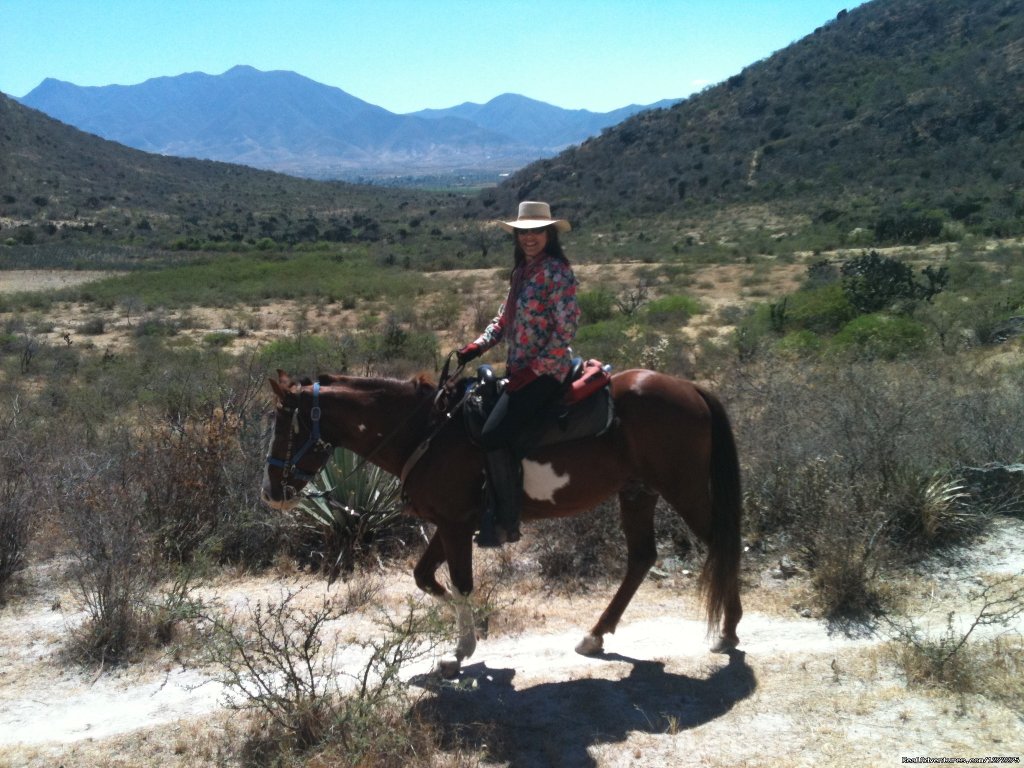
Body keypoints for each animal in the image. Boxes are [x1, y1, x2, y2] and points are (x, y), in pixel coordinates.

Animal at [264, 370, 745, 675]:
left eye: (287, 427)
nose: (272, 493)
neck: (427, 432)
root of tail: (691, 388)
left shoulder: (456, 524)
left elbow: (460, 583)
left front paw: (460, 652)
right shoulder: (449, 522)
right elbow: (425, 577)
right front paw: (466, 636)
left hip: (682, 488)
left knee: (722, 543)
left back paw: (728, 631)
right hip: (638, 492)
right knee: (642, 558)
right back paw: (595, 636)